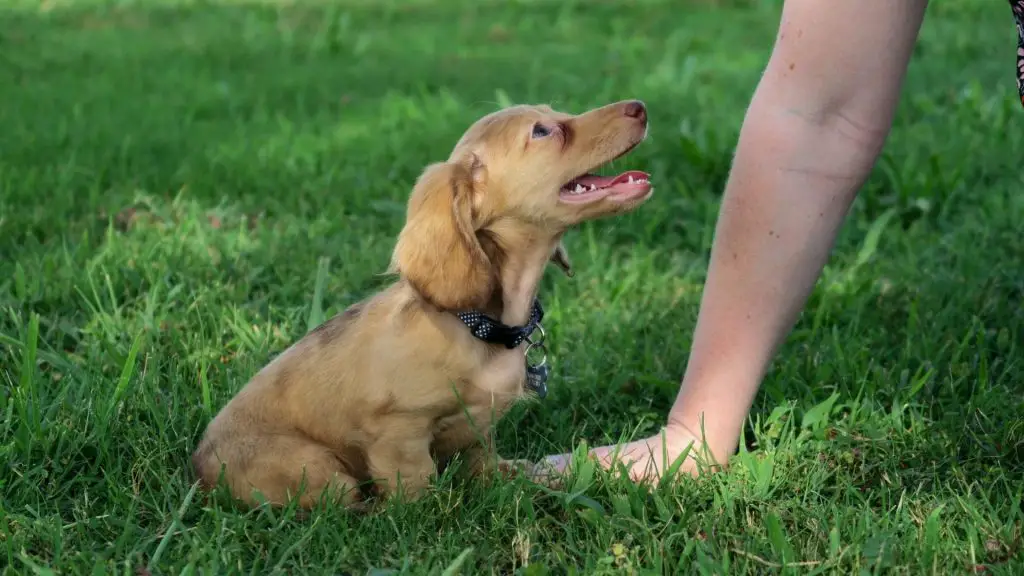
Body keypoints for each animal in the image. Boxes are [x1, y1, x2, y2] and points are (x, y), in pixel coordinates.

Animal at [192, 98, 655, 506]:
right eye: (542, 131)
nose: (640, 106)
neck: (479, 325)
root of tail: (198, 470)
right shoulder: (398, 430)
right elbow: (416, 486)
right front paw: (430, 511)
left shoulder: (479, 430)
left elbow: (488, 466)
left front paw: (529, 479)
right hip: (320, 470)